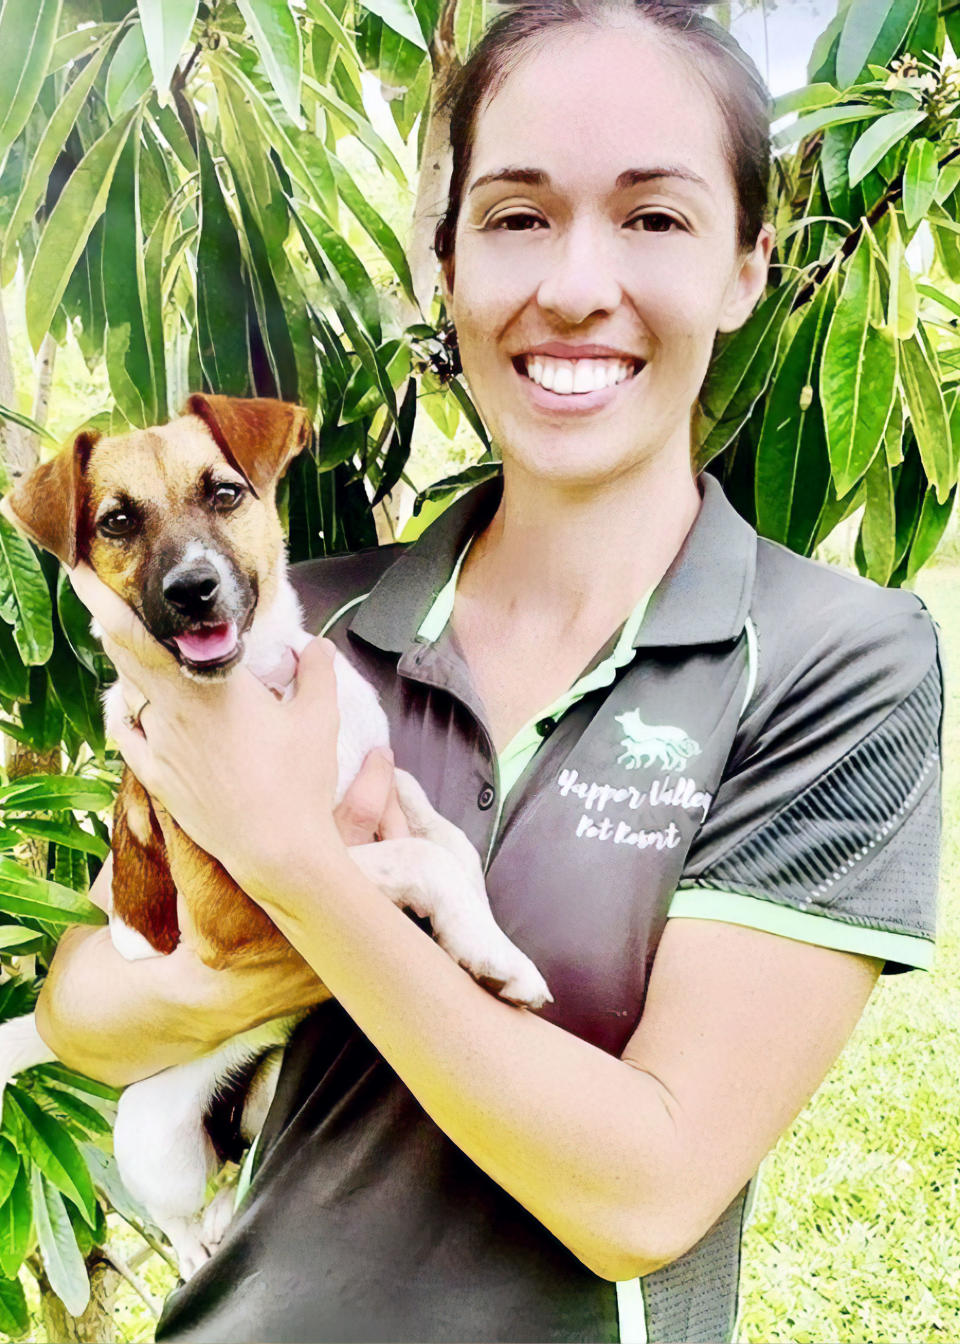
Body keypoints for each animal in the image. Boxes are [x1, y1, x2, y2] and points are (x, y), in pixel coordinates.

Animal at [0, 392, 545, 1274]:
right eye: (117, 521)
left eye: (225, 492)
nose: (193, 590)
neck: (261, 696)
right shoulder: (234, 905)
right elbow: (408, 856)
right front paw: (492, 957)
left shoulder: (383, 773)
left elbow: (447, 842)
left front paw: (486, 936)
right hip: (158, 1144)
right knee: (180, 1212)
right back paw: (200, 1239)